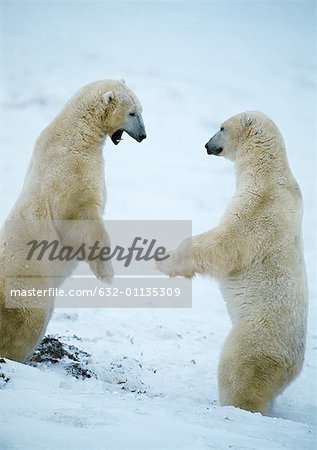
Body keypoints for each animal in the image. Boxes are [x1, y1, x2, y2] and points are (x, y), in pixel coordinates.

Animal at [0, 79, 146, 364]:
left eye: (141, 110)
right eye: (133, 113)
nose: (144, 136)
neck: (75, 133)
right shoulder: (70, 171)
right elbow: (80, 217)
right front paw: (107, 273)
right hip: (26, 286)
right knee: (29, 320)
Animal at [157, 110, 308, 414]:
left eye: (221, 127)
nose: (206, 145)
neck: (271, 173)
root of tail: (292, 367)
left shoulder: (260, 205)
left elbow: (226, 243)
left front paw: (165, 261)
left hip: (255, 337)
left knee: (239, 371)